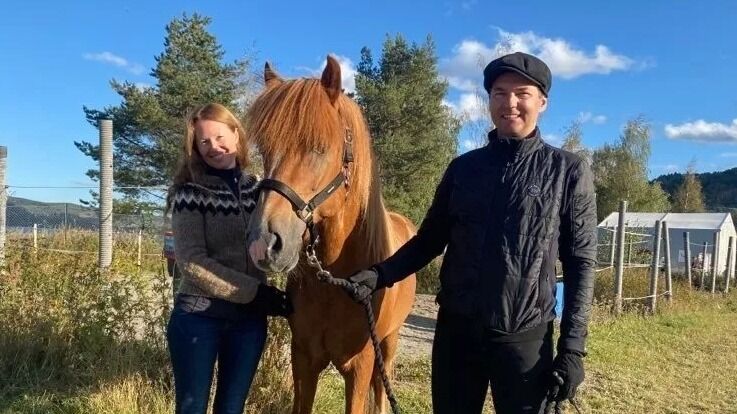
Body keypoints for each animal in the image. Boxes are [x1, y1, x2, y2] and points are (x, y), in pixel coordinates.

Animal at [247, 55, 416, 414]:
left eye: (319, 148)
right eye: (265, 150)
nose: (263, 243)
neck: (337, 282)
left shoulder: (360, 366)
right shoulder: (304, 358)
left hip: (388, 344)